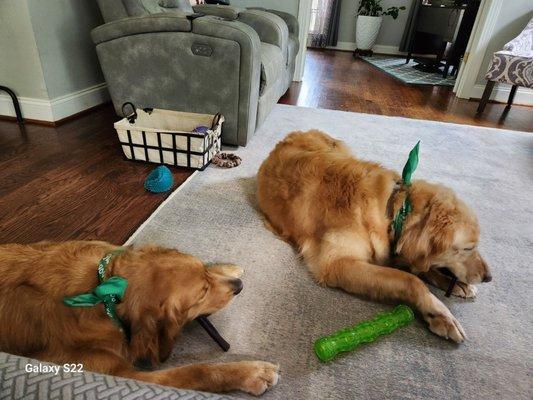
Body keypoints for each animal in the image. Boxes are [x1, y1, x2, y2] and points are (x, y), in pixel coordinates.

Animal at [0, 242, 280, 396]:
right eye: (202, 294)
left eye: (204, 271)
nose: (238, 287)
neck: (107, 293)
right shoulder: (120, 374)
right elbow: (196, 371)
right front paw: (251, 372)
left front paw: (225, 267)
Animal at [256, 131, 490, 344]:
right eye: (468, 248)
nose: (488, 277)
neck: (392, 210)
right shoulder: (336, 264)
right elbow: (410, 279)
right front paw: (440, 314)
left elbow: (418, 267)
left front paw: (455, 284)